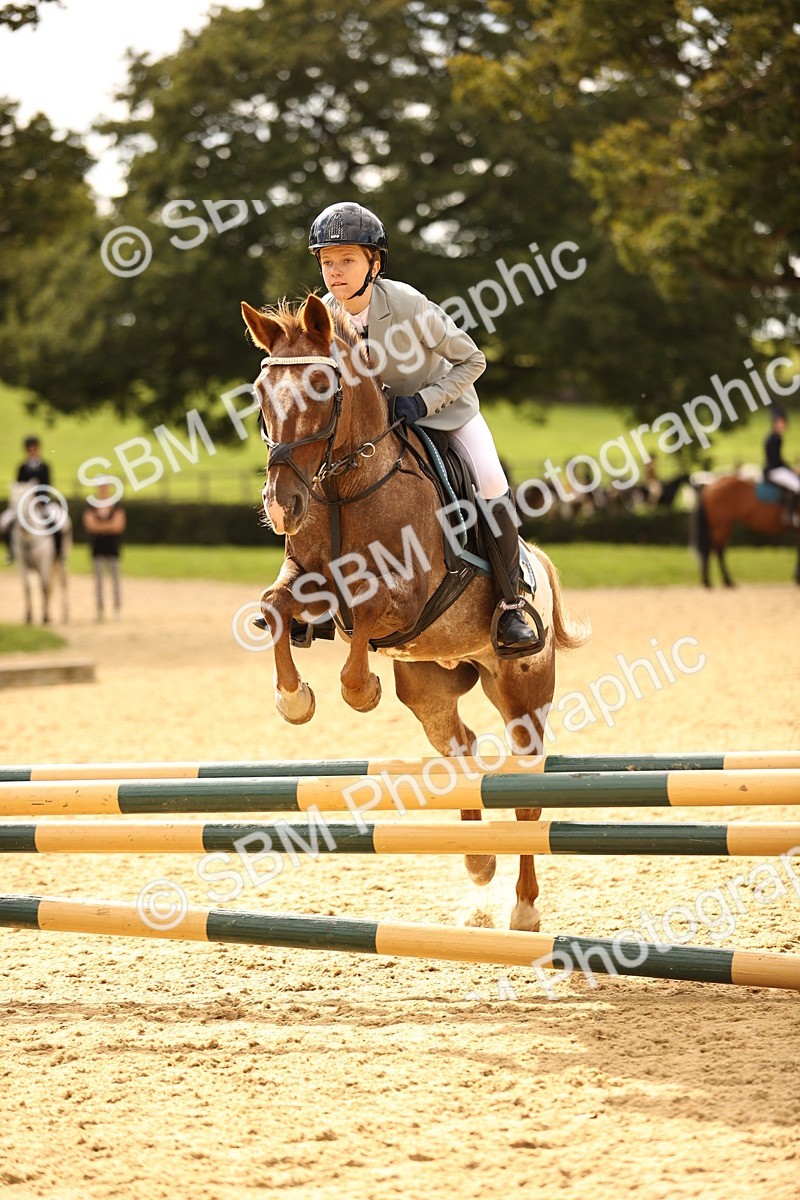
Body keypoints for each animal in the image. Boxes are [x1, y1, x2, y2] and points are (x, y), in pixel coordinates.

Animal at [5, 482, 72, 623]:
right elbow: (27, 587)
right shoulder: (23, 565)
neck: (28, 538)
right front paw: (28, 615)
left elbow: (44, 586)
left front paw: (46, 616)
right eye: (12, 501)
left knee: (62, 583)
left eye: (26, 501)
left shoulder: (44, 563)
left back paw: (65, 614)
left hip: (61, 562)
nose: (20, 526)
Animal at [241, 293, 588, 931]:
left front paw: (358, 692)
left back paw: (524, 908)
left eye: (323, 387)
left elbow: (367, 615)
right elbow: (274, 607)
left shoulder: (408, 598)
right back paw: (477, 862)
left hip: (524, 689)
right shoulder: (305, 577)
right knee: (462, 750)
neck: (343, 487)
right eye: (259, 394)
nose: (282, 507)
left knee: (526, 791)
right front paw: (294, 700)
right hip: (430, 690)